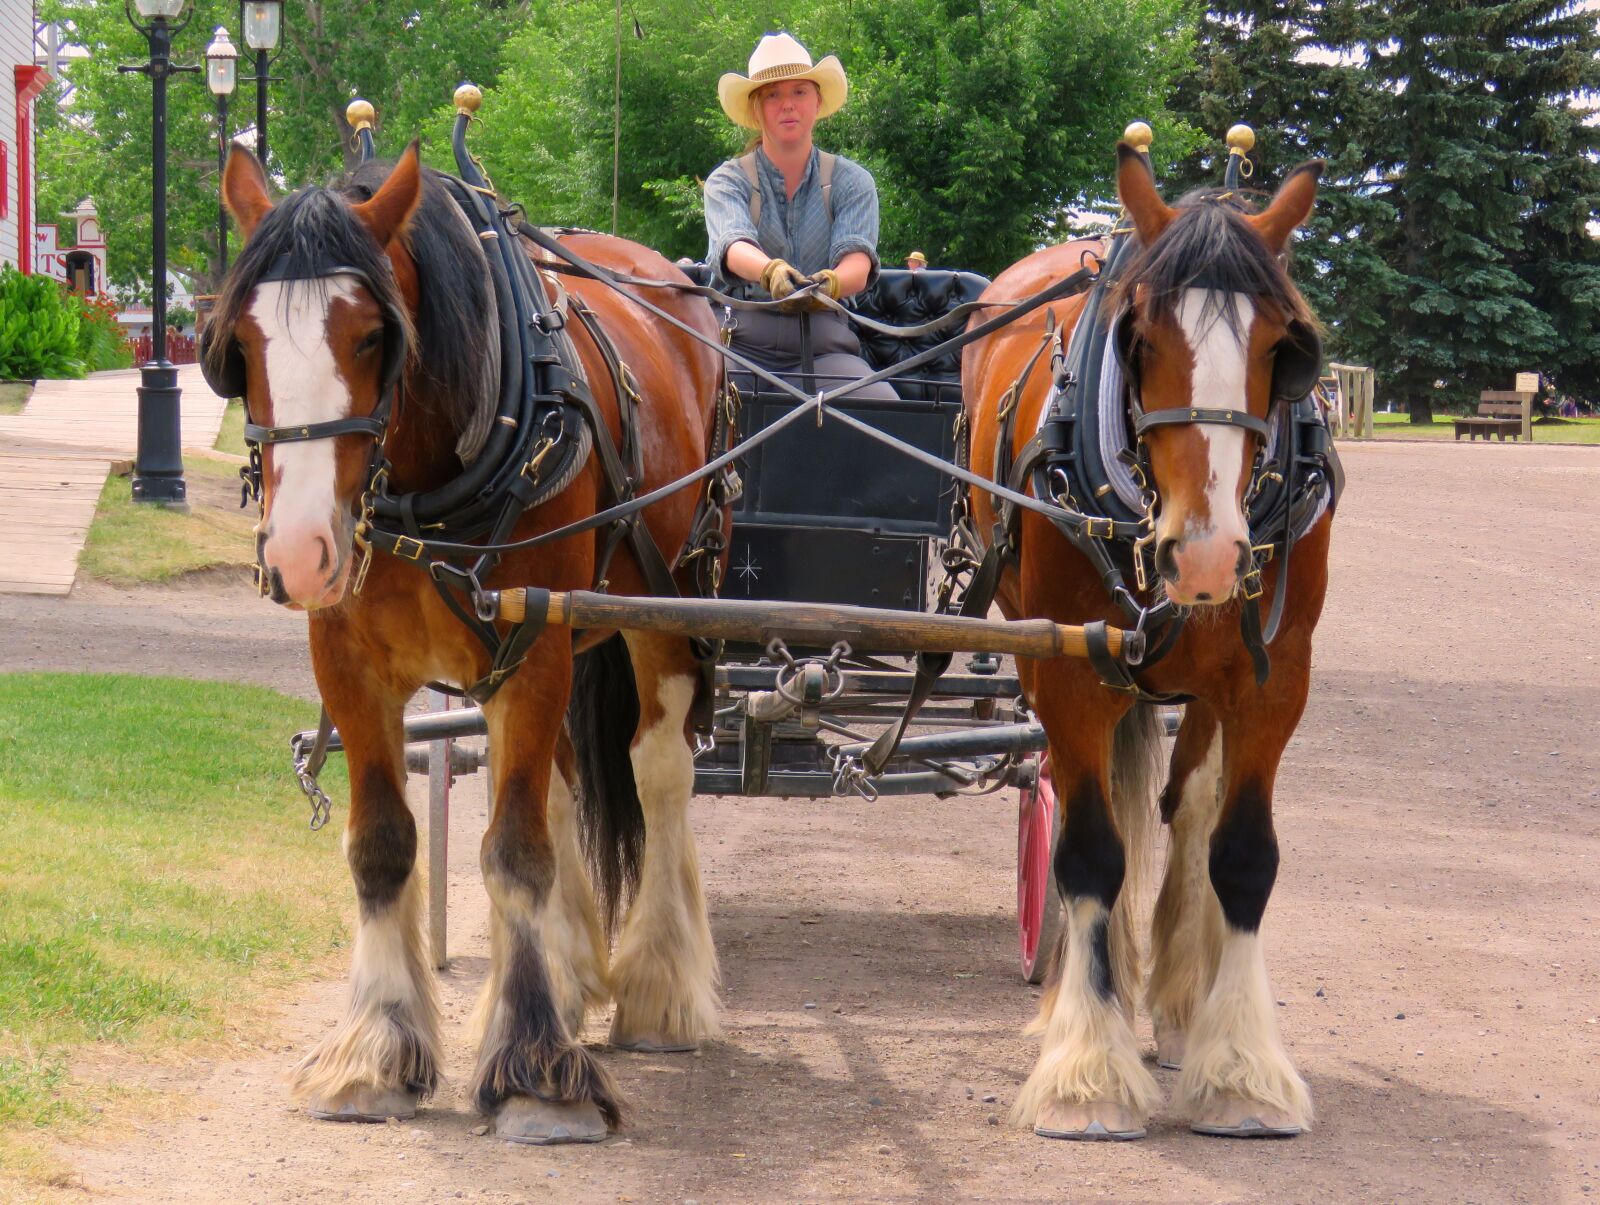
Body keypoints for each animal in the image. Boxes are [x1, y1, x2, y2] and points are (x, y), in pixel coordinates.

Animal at [208, 142, 727, 1143]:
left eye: (374, 336)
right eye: (240, 346)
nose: (297, 551)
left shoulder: (535, 644)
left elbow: (515, 850)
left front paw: (534, 1072)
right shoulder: (349, 662)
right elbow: (384, 842)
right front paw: (375, 1053)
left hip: (666, 603)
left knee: (660, 772)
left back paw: (659, 986)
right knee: (565, 784)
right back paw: (568, 972)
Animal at [962, 143, 1332, 1140]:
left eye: (1283, 349)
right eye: (1141, 341)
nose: (1204, 553)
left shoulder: (1273, 675)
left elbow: (1242, 854)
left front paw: (1241, 1072)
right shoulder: (1068, 670)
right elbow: (1089, 852)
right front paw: (1086, 1072)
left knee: (1189, 810)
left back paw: (1175, 998)